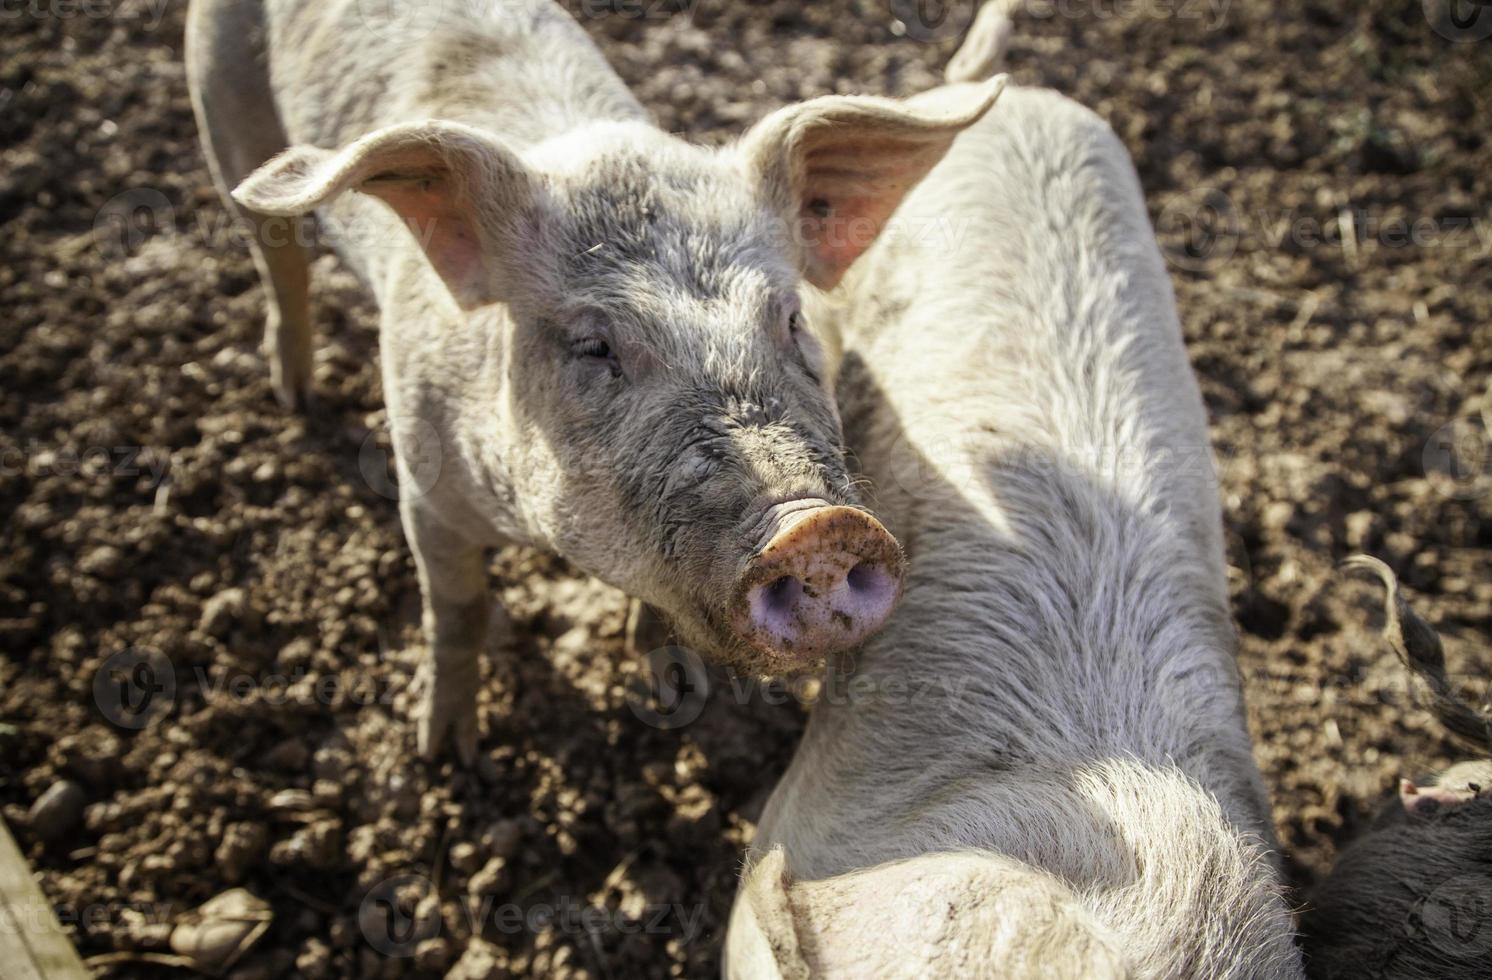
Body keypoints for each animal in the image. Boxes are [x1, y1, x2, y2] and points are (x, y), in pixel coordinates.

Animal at [183, 0, 1002, 757]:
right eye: (594, 345)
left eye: (790, 318)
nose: (819, 527)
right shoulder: (423, 486)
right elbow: (457, 609)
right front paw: (446, 754)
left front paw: (672, 689)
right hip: (222, 113)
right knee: (277, 260)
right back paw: (296, 395)